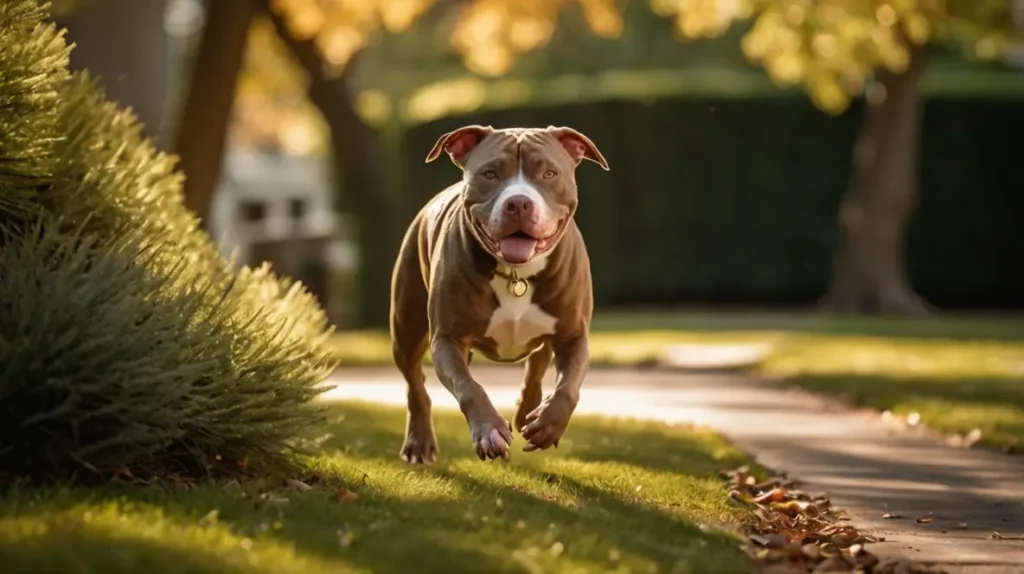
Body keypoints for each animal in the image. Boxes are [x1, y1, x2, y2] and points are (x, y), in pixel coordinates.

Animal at [385, 125, 606, 460]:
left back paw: (528, 411)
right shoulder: (447, 339)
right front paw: (489, 430)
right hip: (407, 330)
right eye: (489, 174)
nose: (518, 203)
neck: (517, 275)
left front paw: (548, 423)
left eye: (549, 173)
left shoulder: (573, 336)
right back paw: (419, 443)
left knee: (536, 368)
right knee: (415, 384)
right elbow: (468, 387)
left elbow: (567, 387)